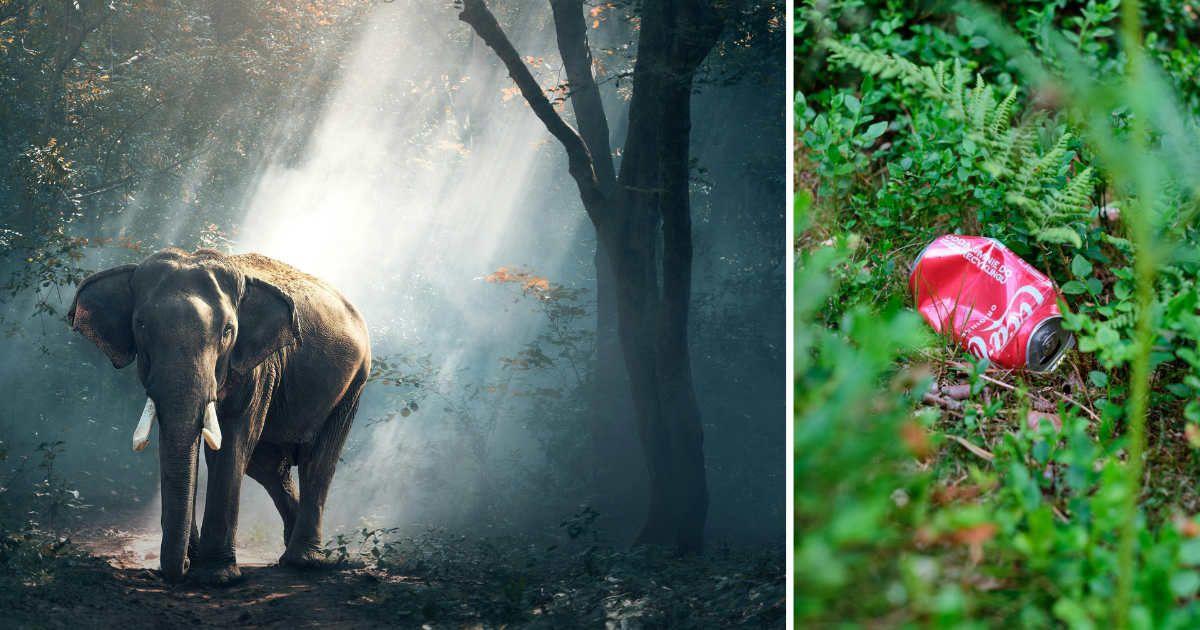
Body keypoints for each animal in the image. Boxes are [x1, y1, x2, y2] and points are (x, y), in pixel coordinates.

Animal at [68, 248, 371, 584]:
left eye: (228, 331)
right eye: (141, 325)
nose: (182, 567)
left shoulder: (257, 366)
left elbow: (232, 443)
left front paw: (216, 576)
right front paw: (196, 562)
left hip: (354, 383)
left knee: (317, 461)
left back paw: (306, 561)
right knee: (268, 466)